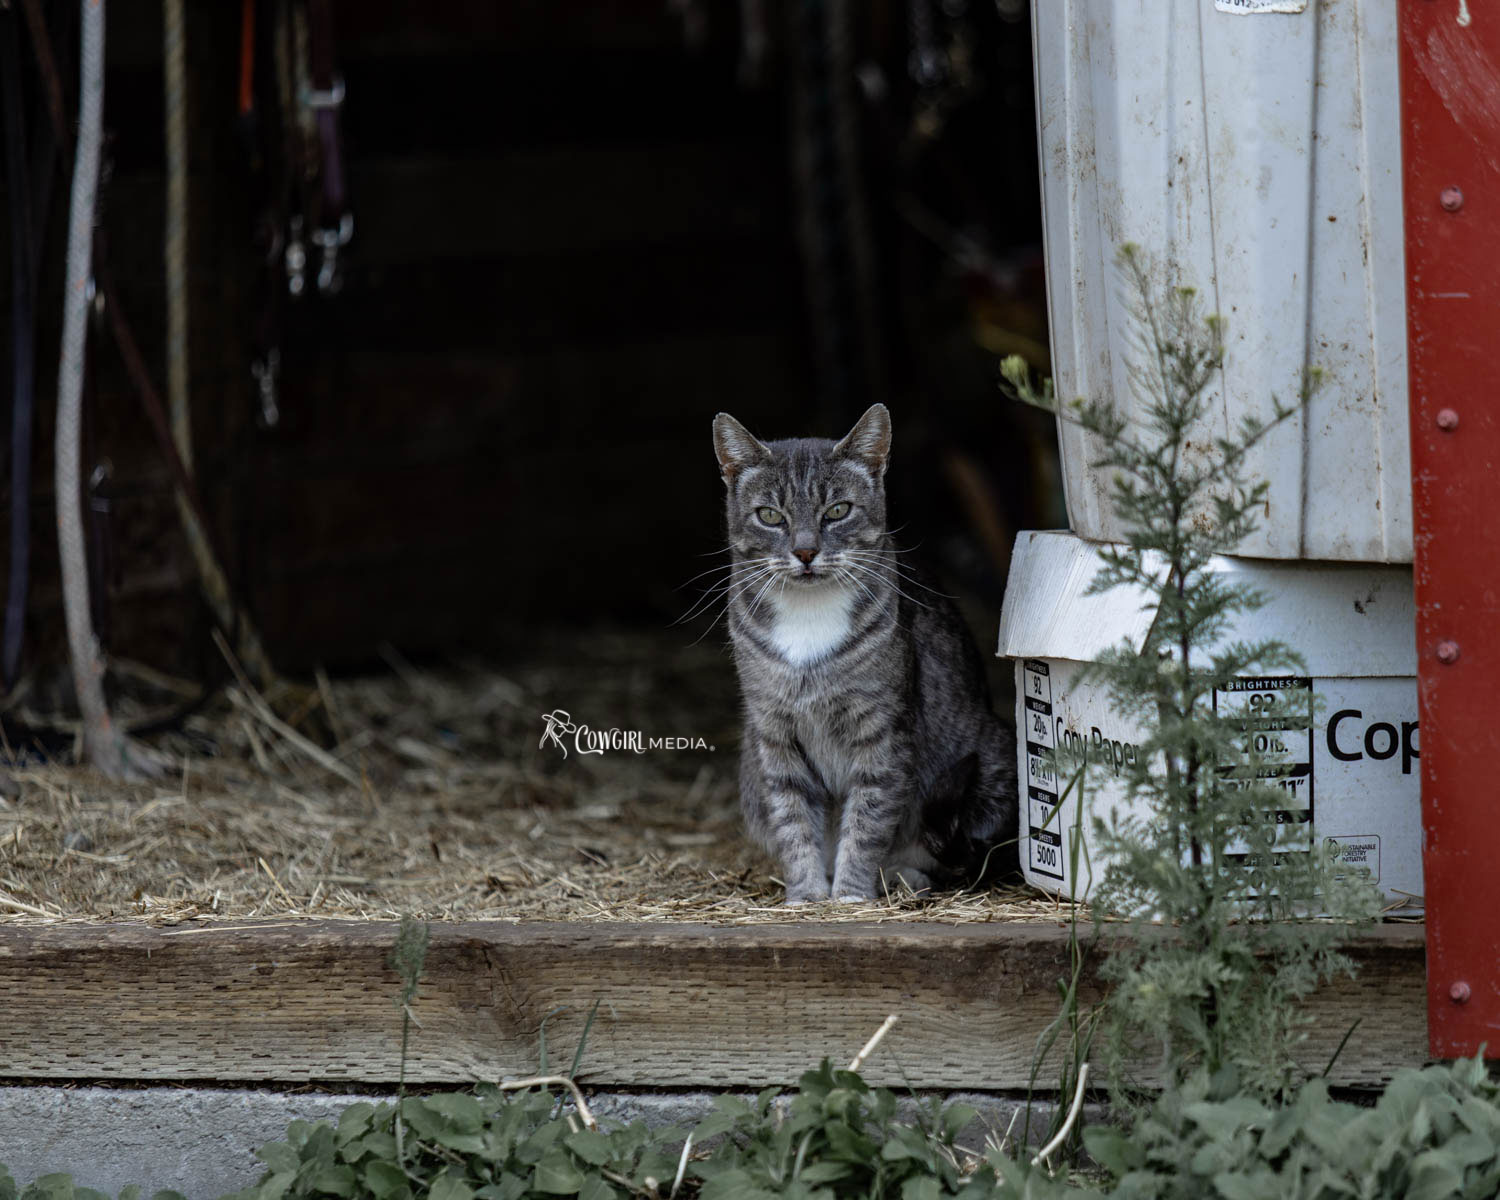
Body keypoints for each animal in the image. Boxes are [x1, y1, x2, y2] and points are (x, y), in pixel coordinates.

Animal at [711, 402, 1020, 900]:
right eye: (770, 515)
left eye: (837, 511)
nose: (805, 552)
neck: (808, 616)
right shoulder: (774, 733)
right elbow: (793, 821)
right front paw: (806, 895)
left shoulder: (881, 732)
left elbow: (868, 819)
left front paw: (851, 894)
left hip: (992, 765)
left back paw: (902, 877)